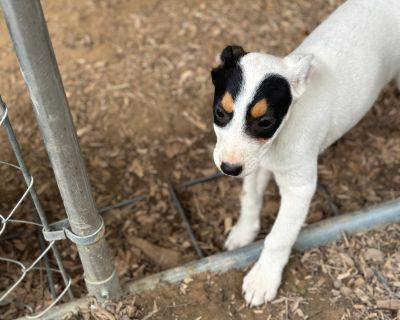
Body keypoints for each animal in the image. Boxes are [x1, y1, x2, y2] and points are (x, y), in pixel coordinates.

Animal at [209, 0, 400, 308]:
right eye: (220, 112)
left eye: (265, 121)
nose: (228, 169)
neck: (280, 135)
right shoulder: (256, 161)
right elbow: (249, 197)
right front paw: (243, 231)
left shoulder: (299, 188)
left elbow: (278, 237)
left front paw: (263, 278)